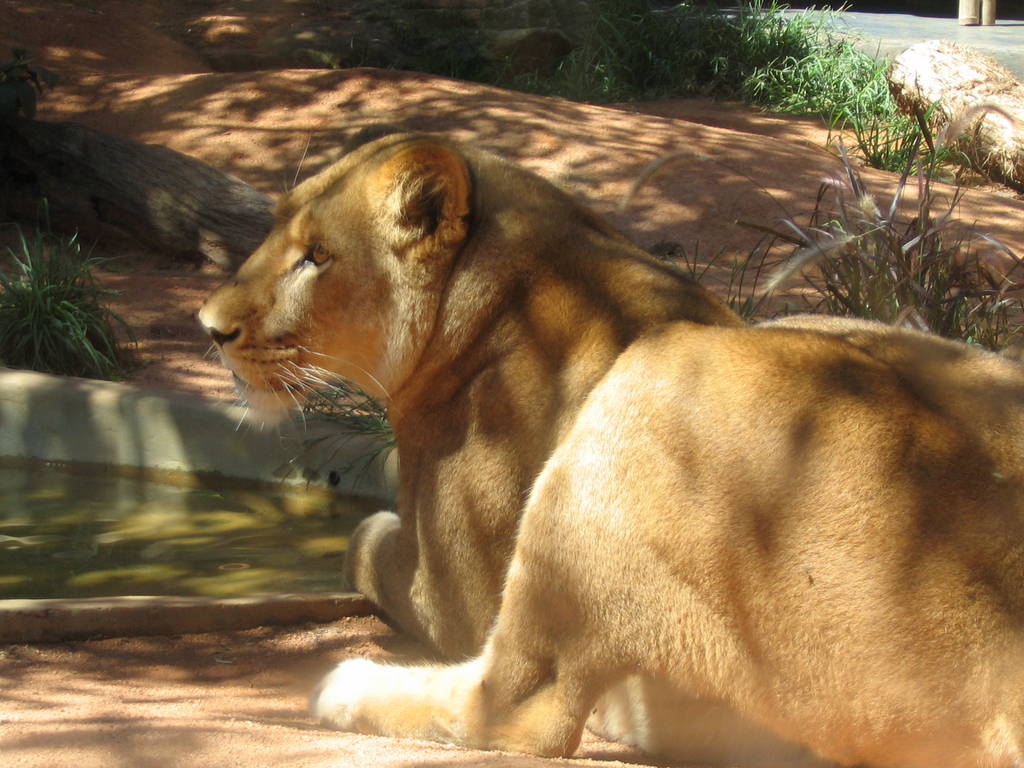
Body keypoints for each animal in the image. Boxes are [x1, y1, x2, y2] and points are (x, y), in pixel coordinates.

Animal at [199, 131, 1024, 768]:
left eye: (315, 257)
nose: (210, 327)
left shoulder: (454, 591)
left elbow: (364, 538)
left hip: (652, 389)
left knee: (520, 708)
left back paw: (344, 687)